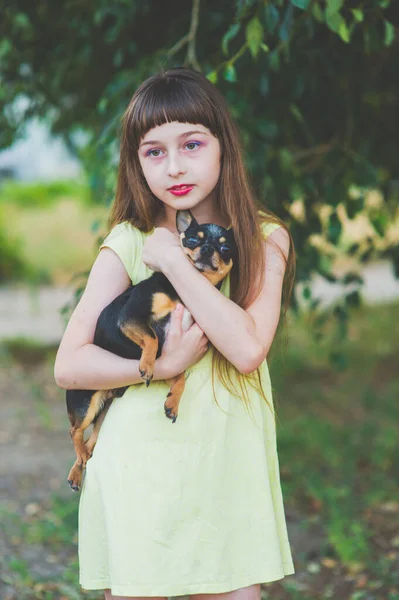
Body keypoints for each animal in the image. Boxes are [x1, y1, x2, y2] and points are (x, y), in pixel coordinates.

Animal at [66, 209, 238, 490]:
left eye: (225, 247)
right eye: (193, 240)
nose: (207, 248)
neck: (185, 291)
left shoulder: (170, 355)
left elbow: (180, 378)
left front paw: (173, 403)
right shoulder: (132, 318)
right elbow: (152, 339)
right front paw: (146, 365)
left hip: (103, 410)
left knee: (92, 443)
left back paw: (77, 472)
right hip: (86, 403)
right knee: (75, 431)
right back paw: (77, 461)